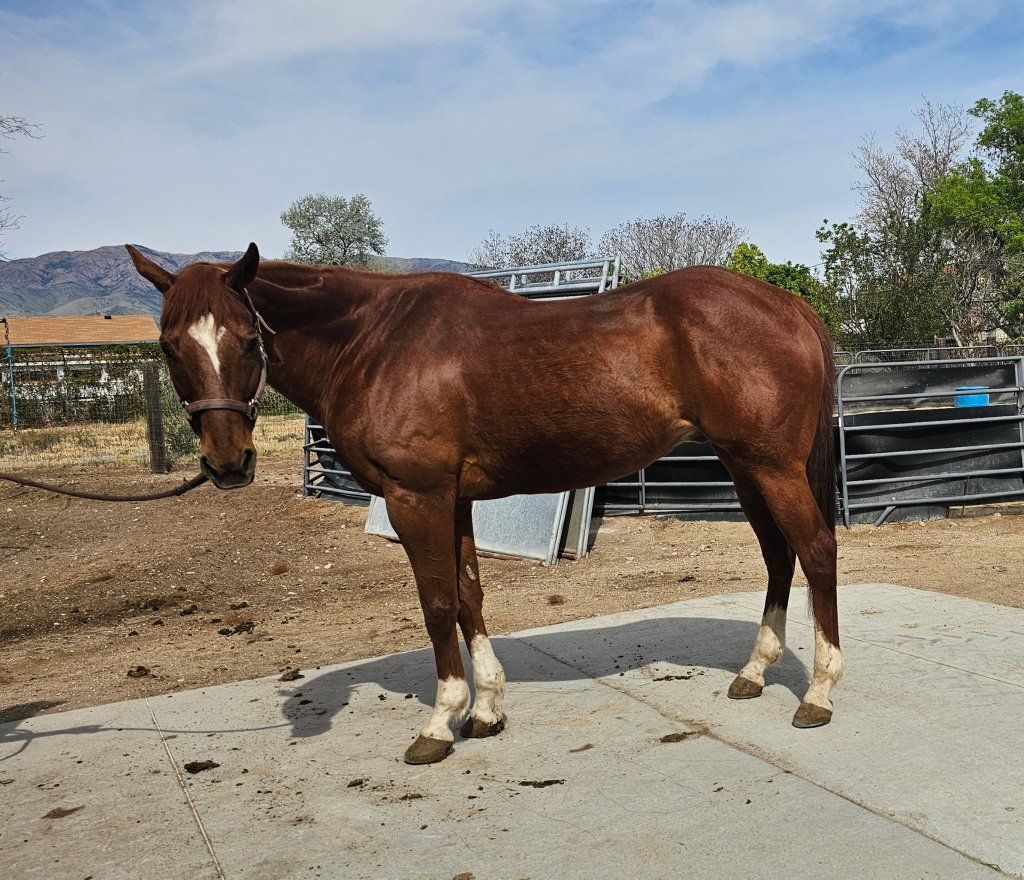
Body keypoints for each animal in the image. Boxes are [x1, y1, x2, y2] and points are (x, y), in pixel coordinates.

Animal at [127, 242, 842, 765]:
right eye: (169, 345)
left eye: (248, 339)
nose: (228, 463)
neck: (373, 340)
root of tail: (790, 306)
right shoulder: (455, 499)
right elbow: (470, 594)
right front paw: (487, 709)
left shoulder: (416, 497)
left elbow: (438, 606)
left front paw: (441, 722)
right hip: (744, 466)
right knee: (778, 556)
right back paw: (754, 671)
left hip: (770, 466)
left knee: (815, 551)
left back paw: (819, 693)